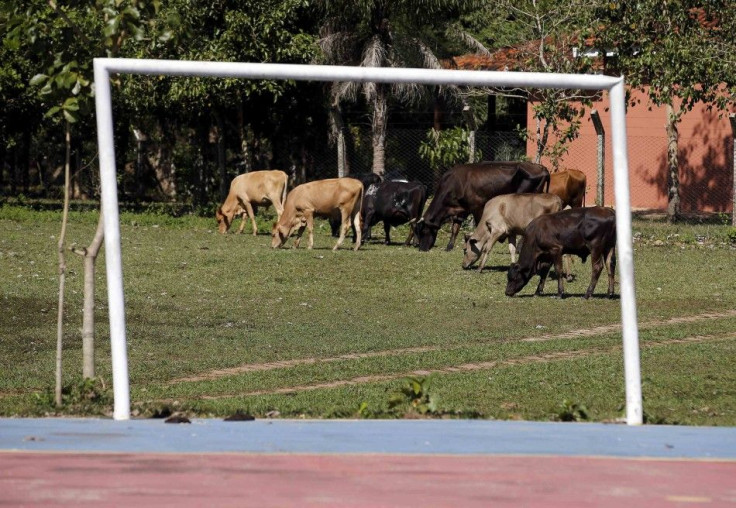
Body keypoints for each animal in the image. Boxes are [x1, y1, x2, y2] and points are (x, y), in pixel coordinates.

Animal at [414, 161, 548, 252]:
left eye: (423, 231)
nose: (421, 248)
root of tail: (540, 167)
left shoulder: (477, 206)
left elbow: (480, 224)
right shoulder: (462, 209)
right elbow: (455, 228)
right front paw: (449, 246)